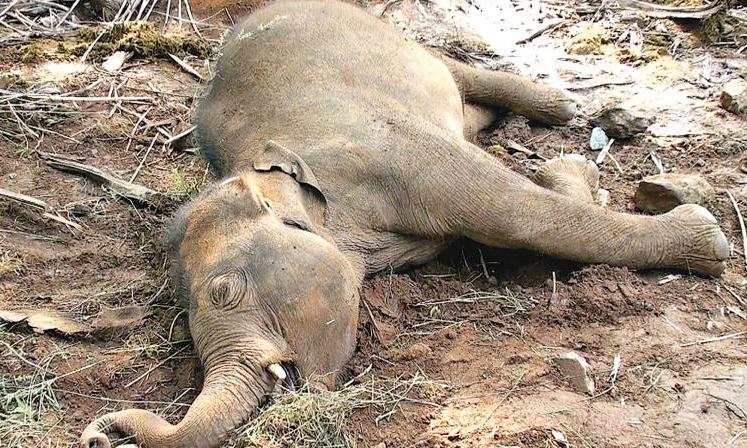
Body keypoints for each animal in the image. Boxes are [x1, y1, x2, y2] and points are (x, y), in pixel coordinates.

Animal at [79, 1, 729, 447]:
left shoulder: (392, 153)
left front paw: (705, 242)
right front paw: (567, 171)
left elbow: (518, 214)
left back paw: (561, 108)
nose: (100, 432)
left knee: (451, 68)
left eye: (222, 292)